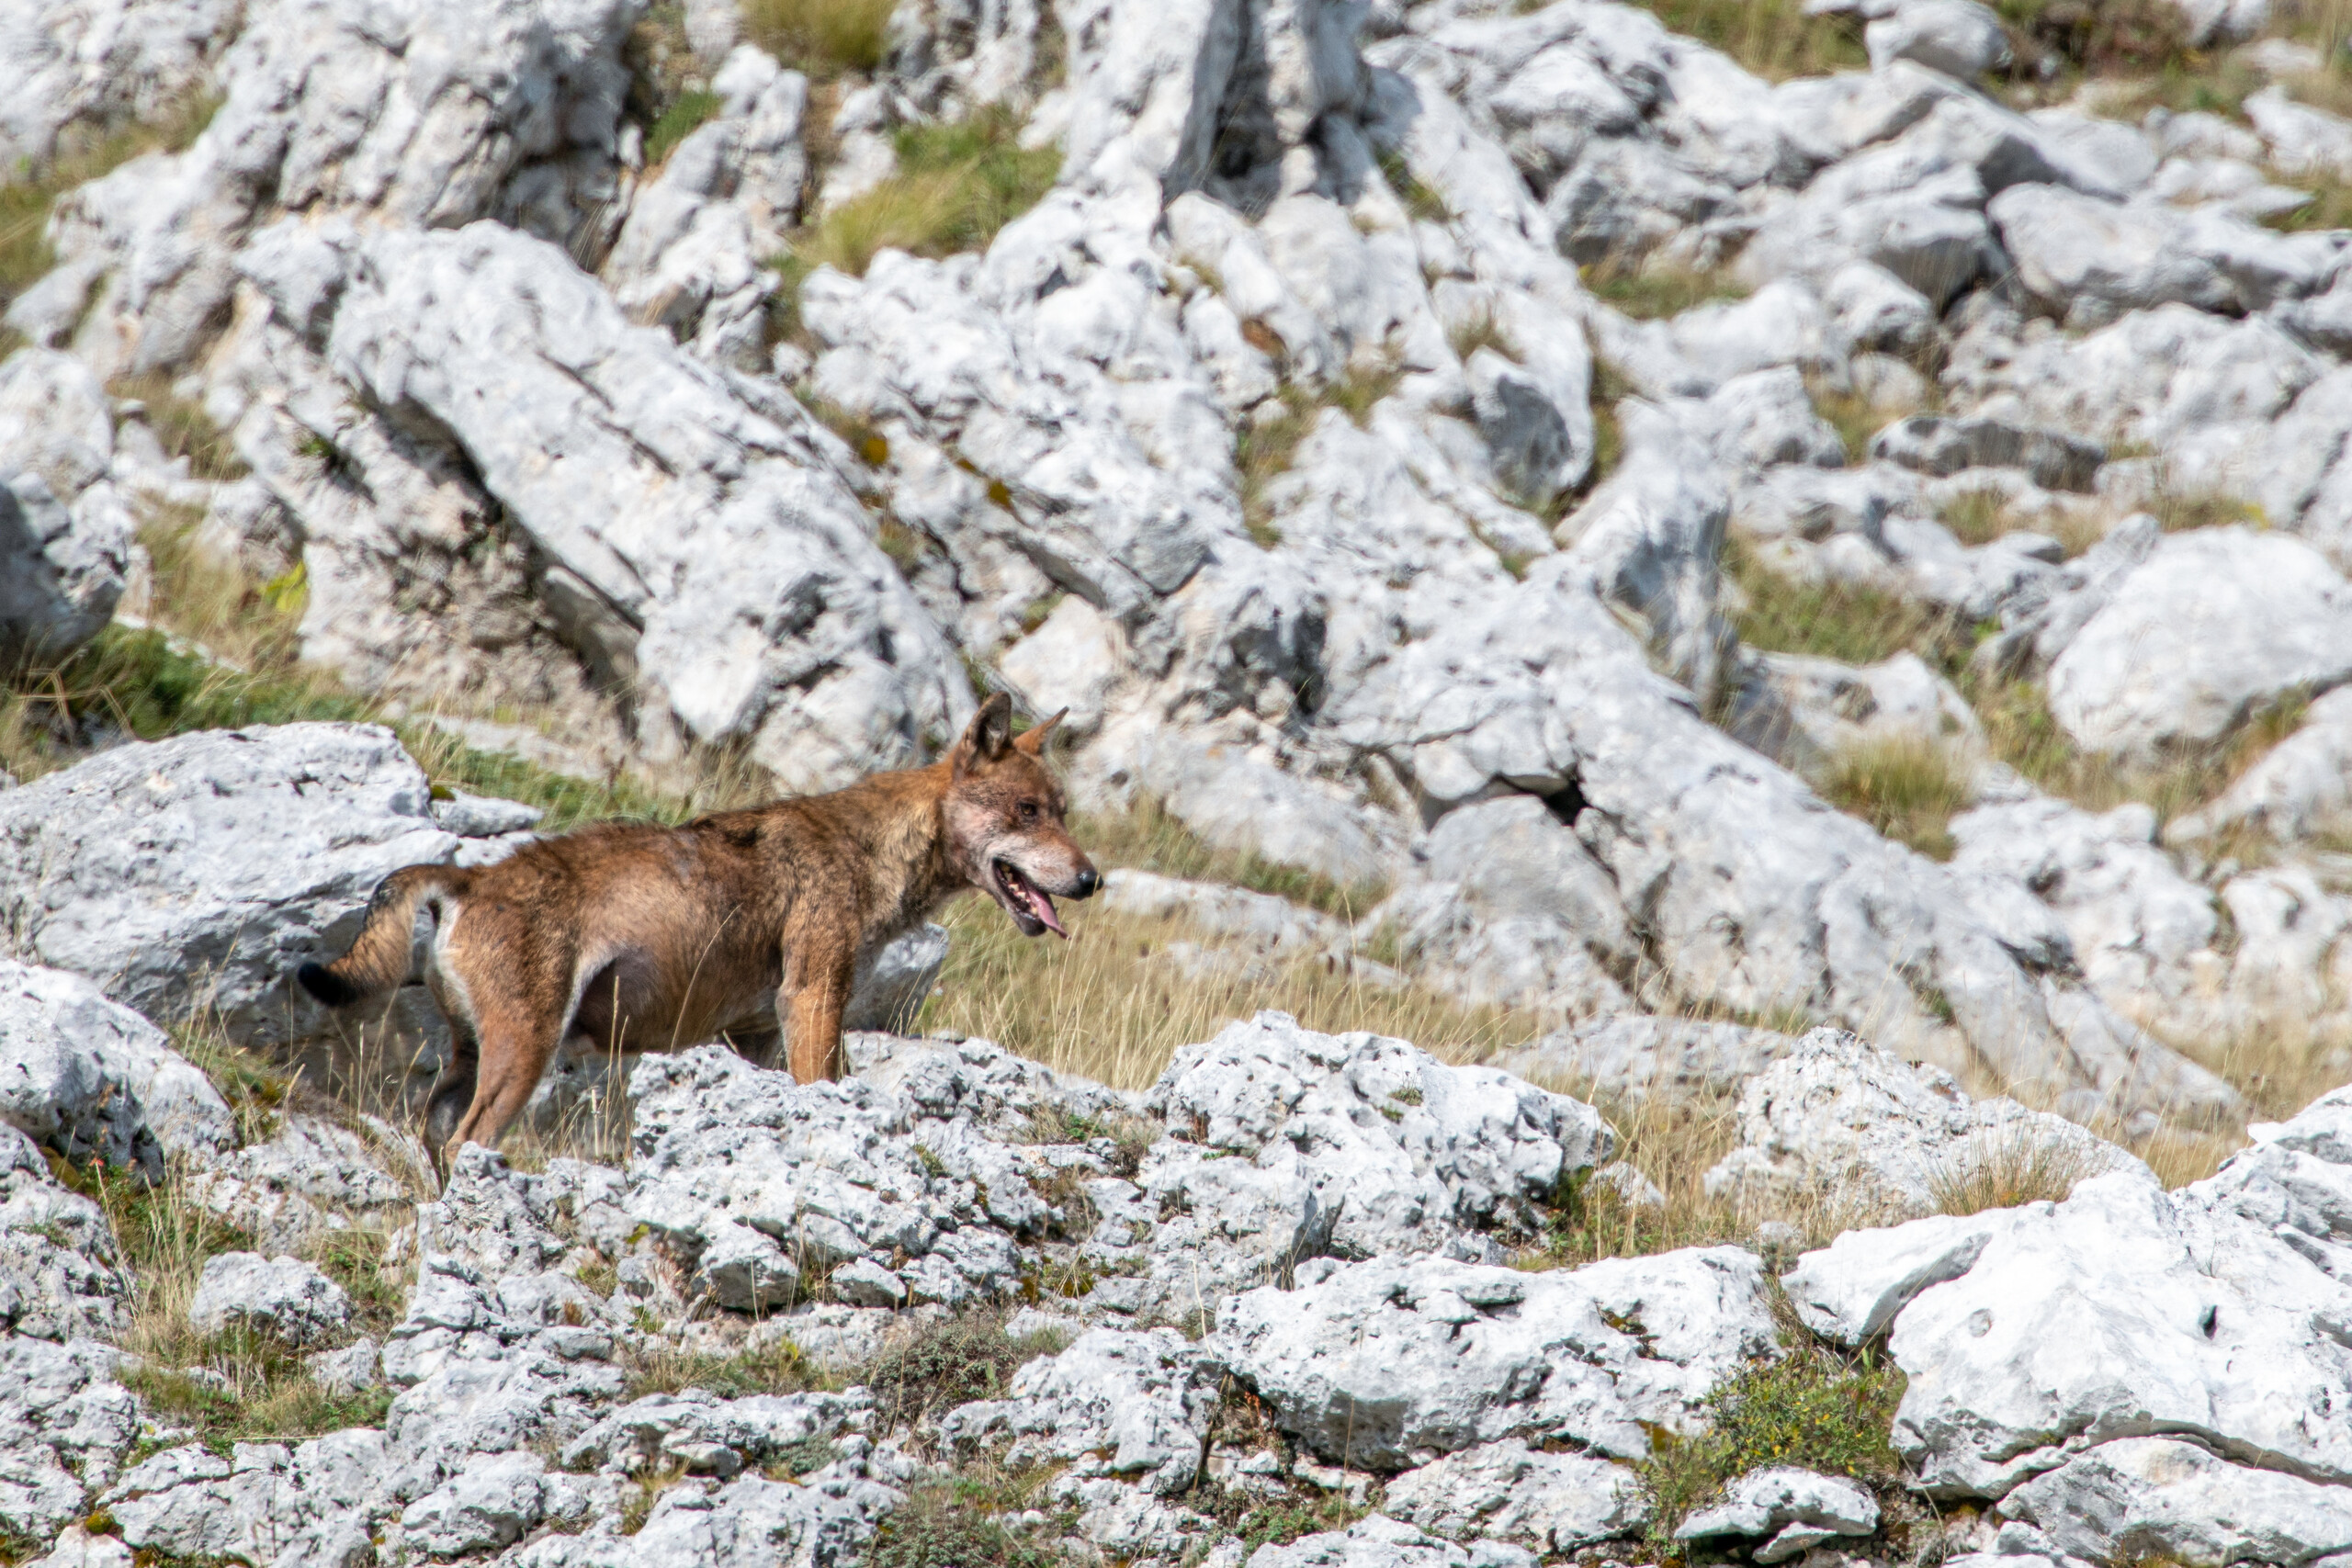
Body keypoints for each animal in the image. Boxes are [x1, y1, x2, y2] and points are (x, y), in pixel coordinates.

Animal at [295, 694, 1097, 1175]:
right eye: (1027, 810)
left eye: (1062, 810)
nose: (1092, 879)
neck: (870, 850)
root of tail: (466, 880)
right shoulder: (812, 997)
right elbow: (826, 1085)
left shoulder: (758, 1033)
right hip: (525, 1057)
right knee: (467, 1143)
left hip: (471, 1062)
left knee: (433, 1136)